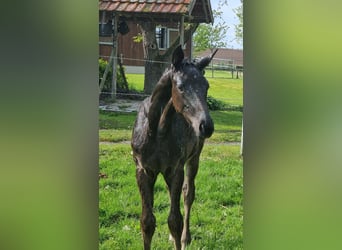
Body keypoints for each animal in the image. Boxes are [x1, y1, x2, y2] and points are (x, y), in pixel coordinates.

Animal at [132, 46, 216, 249]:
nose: (206, 126)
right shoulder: (143, 170)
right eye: (181, 87)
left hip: (194, 159)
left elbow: (175, 221)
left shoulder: (175, 169)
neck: (157, 131)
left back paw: (186, 238)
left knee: (188, 194)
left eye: (206, 86)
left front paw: (180, 238)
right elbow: (147, 222)